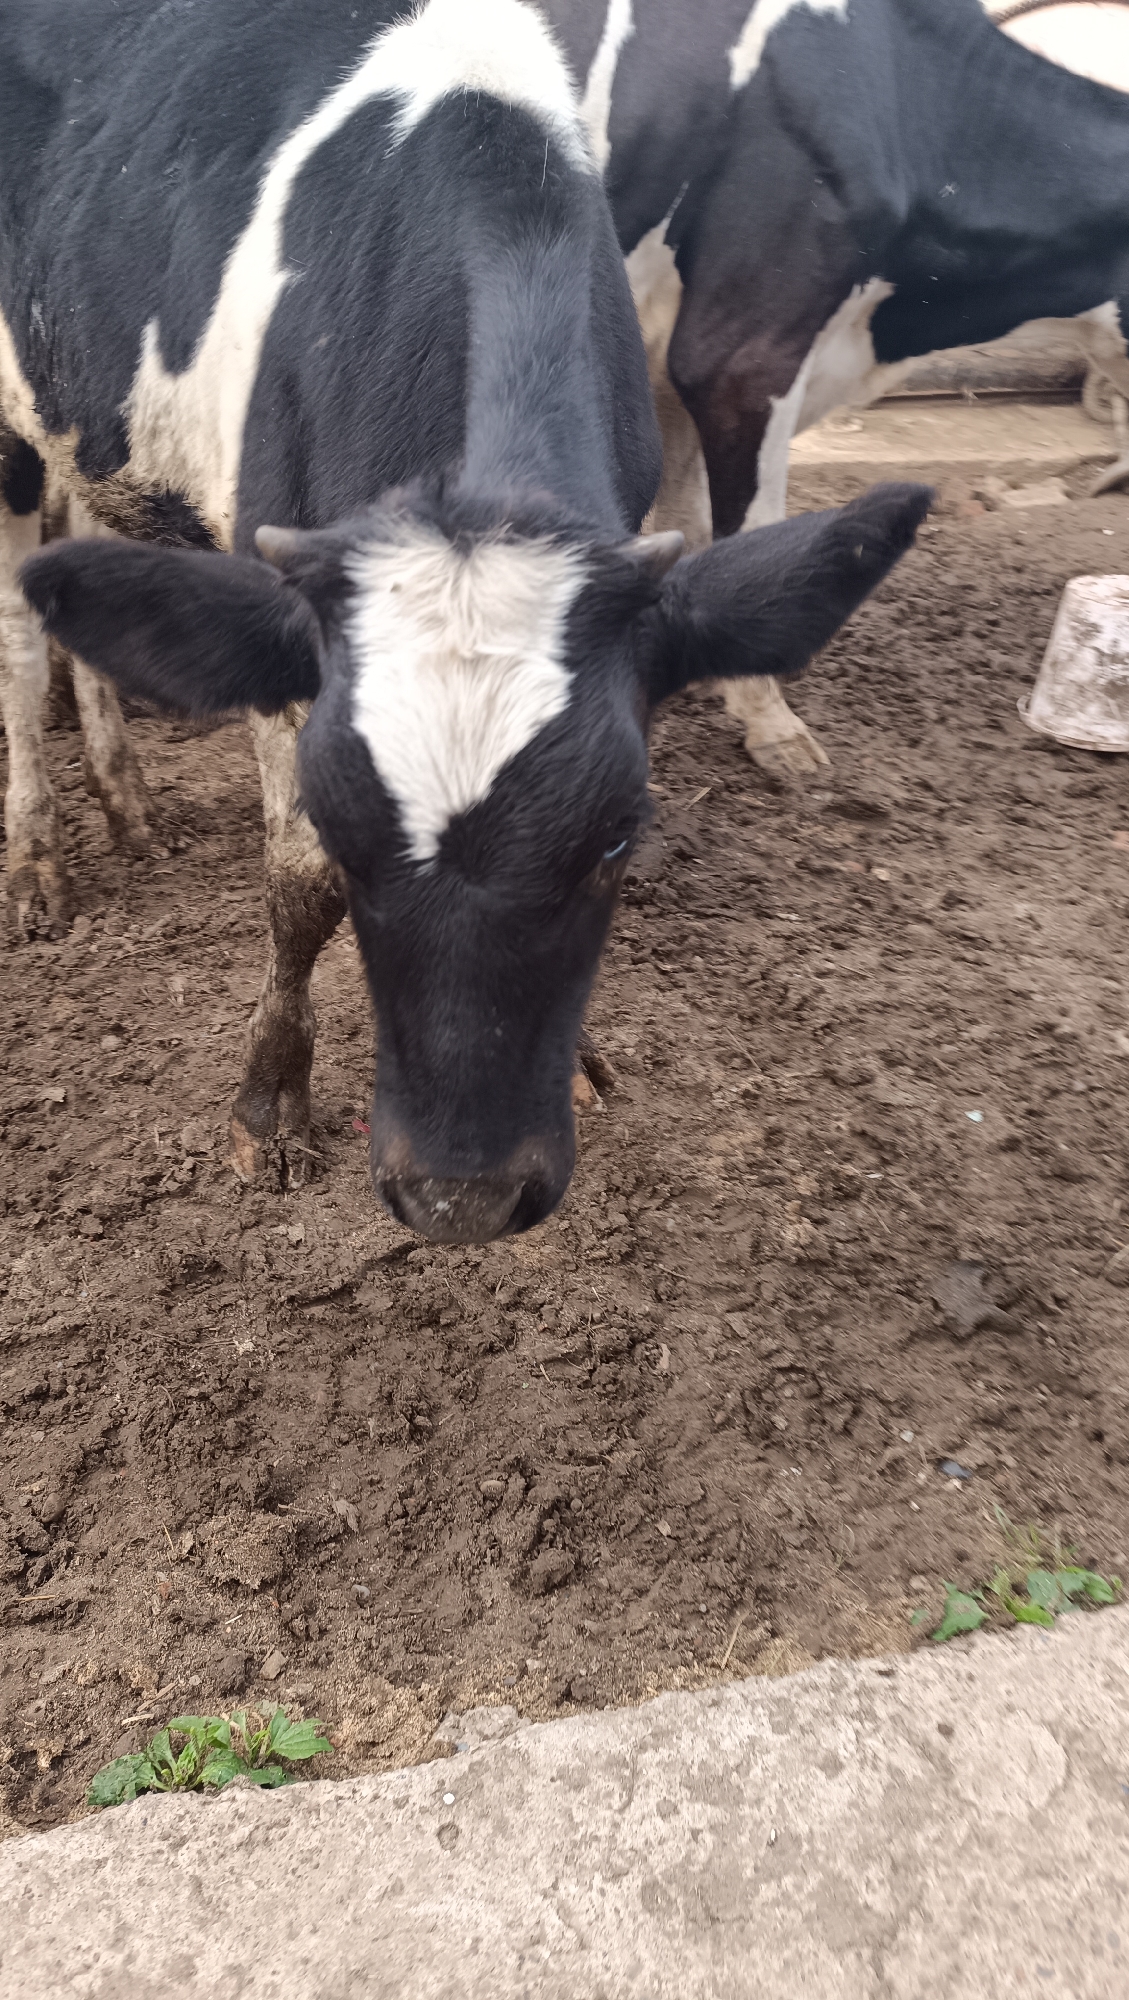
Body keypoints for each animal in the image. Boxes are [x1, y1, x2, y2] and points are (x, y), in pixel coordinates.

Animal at [2, 0, 930, 1243]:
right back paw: (35, 859)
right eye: (349, 832)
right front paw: (268, 1104)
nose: (461, 1196)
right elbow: (295, 885)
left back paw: (126, 800)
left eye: (618, 835)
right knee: (18, 637)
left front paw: (575, 1054)